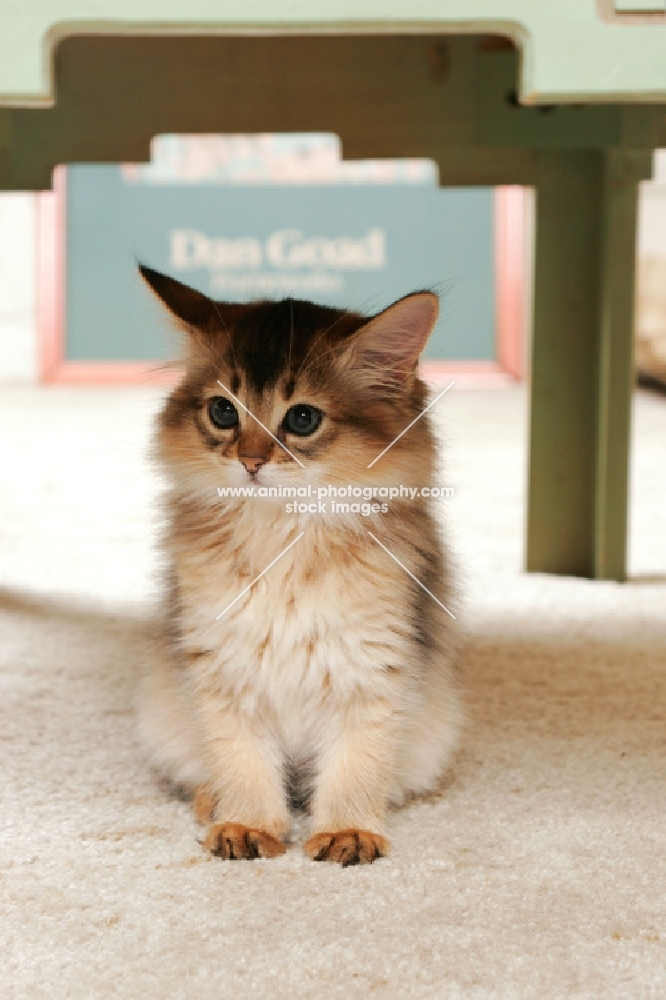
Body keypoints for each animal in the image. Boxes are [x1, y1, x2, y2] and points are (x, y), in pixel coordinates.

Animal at [137, 266, 460, 868]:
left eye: (302, 418)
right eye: (223, 412)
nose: (250, 461)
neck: (281, 540)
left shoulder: (370, 667)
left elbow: (357, 764)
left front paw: (348, 832)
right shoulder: (223, 664)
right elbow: (241, 759)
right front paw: (245, 823)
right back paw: (212, 800)